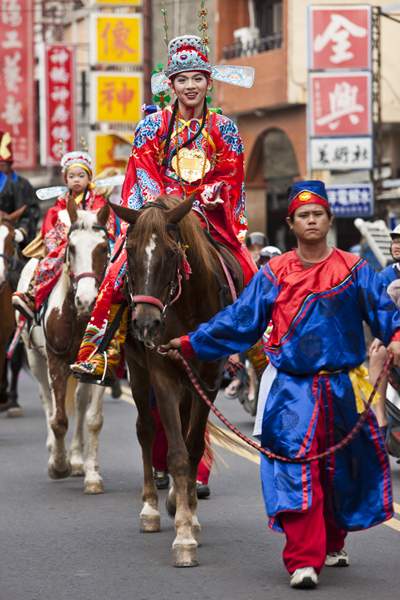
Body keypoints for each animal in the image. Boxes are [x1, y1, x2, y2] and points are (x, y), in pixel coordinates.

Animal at [17, 199, 111, 494]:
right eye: (71, 248)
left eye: (103, 248)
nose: (86, 299)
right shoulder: (56, 359)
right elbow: (58, 420)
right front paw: (59, 465)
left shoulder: (101, 364)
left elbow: (93, 419)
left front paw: (91, 474)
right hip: (34, 358)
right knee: (47, 400)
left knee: (79, 404)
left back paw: (79, 459)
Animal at [110, 196, 244, 568]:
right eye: (129, 250)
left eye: (171, 253)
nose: (146, 323)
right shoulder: (162, 374)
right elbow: (177, 453)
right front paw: (183, 537)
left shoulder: (208, 377)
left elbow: (193, 446)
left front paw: (189, 516)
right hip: (138, 369)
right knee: (145, 429)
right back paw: (151, 509)